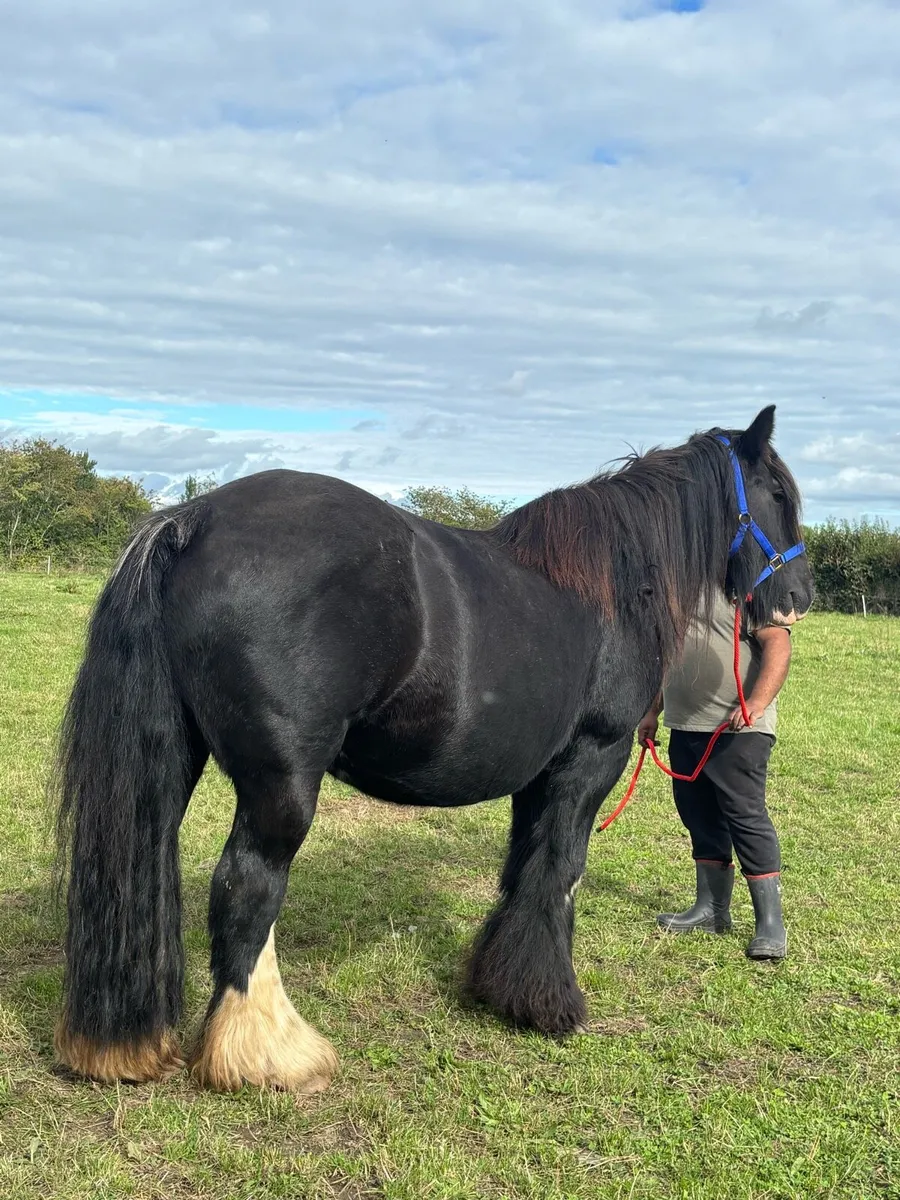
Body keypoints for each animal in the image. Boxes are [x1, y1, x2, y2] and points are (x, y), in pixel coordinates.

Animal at [52, 405, 814, 1093]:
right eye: (777, 493)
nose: (797, 596)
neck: (610, 583)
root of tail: (194, 519)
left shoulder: (538, 775)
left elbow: (522, 868)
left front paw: (501, 988)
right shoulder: (589, 759)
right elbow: (560, 872)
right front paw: (552, 1006)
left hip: (174, 762)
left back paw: (126, 1045)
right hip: (282, 784)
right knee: (247, 885)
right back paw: (269, 1055)